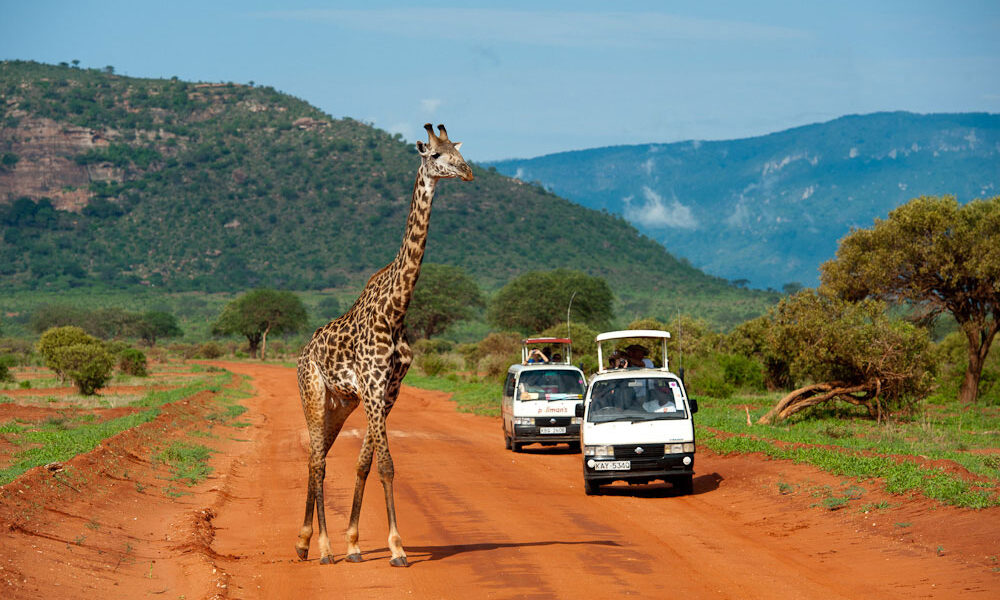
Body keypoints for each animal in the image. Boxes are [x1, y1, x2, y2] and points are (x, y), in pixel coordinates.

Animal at [292, 123, 472, 568]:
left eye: (459, 152)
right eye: (435, 156)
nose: (468, 173)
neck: (397, 309)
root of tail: (302, 353)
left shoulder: (389, 390)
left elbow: (364, 463)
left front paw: (356, 543)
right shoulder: (373, 386)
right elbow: (387, 465)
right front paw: (397, 548)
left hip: (340, 404)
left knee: (316, 458)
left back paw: (304, 542)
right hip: (313, 392)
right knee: (318, 462)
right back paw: (322, 549)